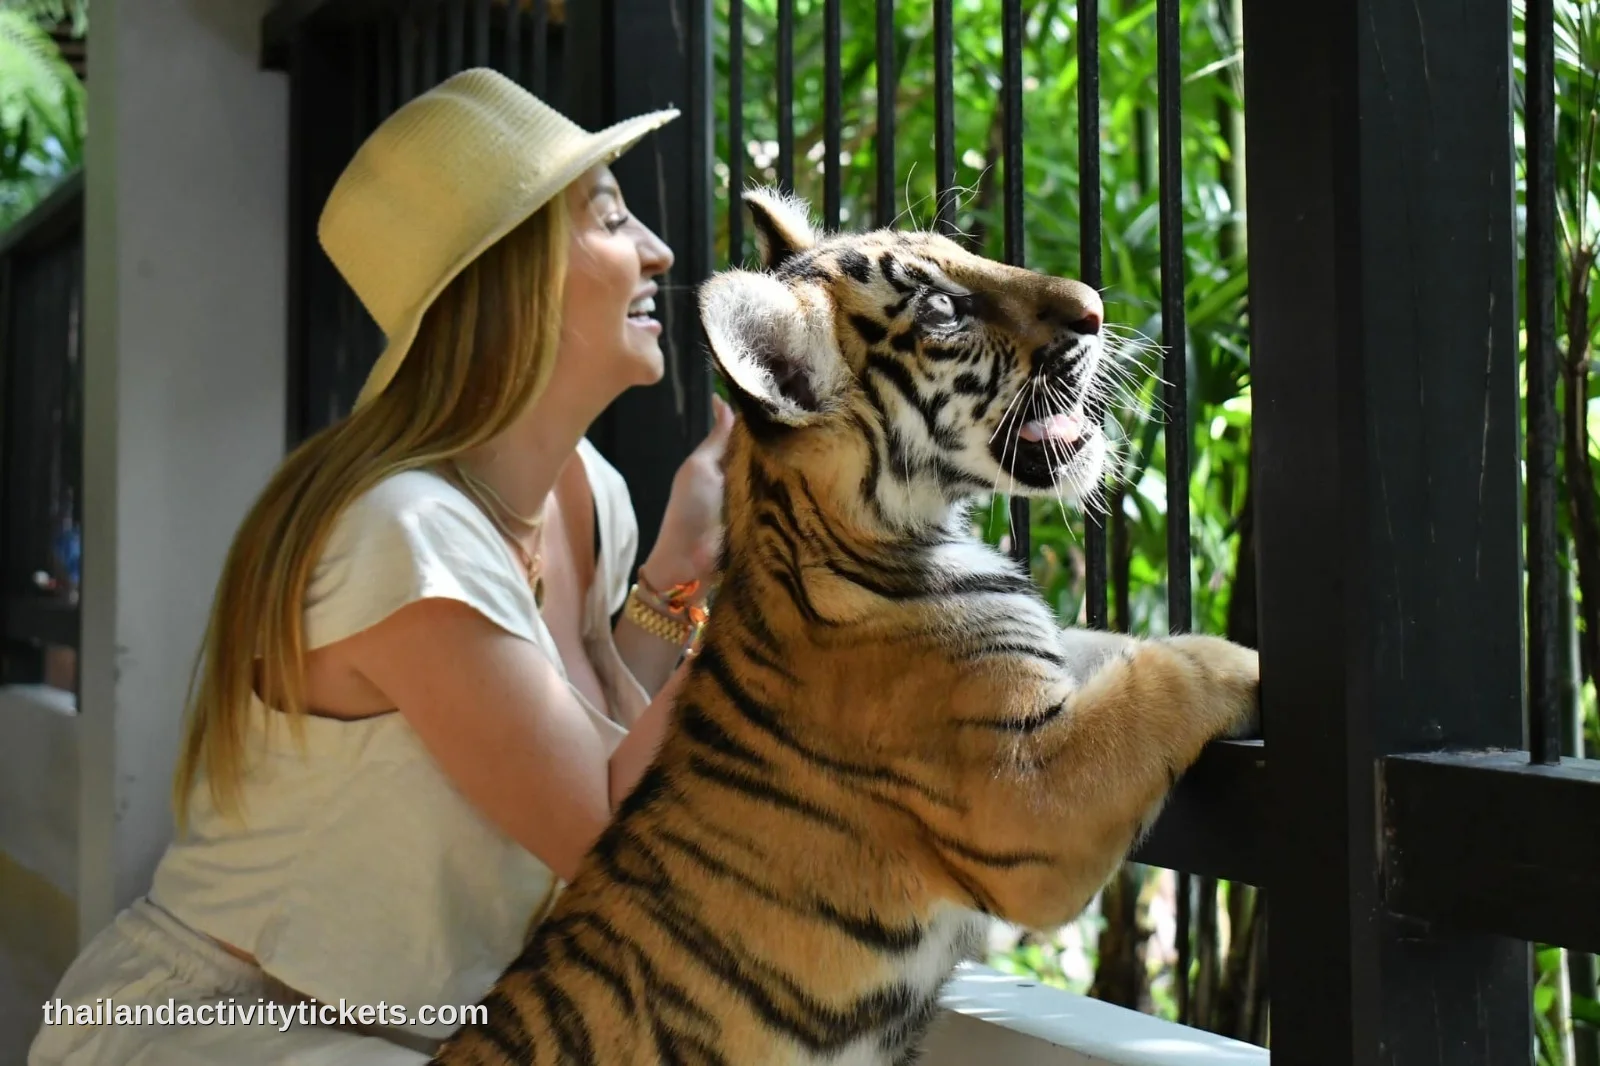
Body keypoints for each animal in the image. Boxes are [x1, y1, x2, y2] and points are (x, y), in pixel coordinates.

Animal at [428, 187, 1261, 1066]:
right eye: (943, 309)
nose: (1095, 309)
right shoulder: (1030, 789)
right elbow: (1166, 679)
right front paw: (1247, 665)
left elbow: (1129, 651)